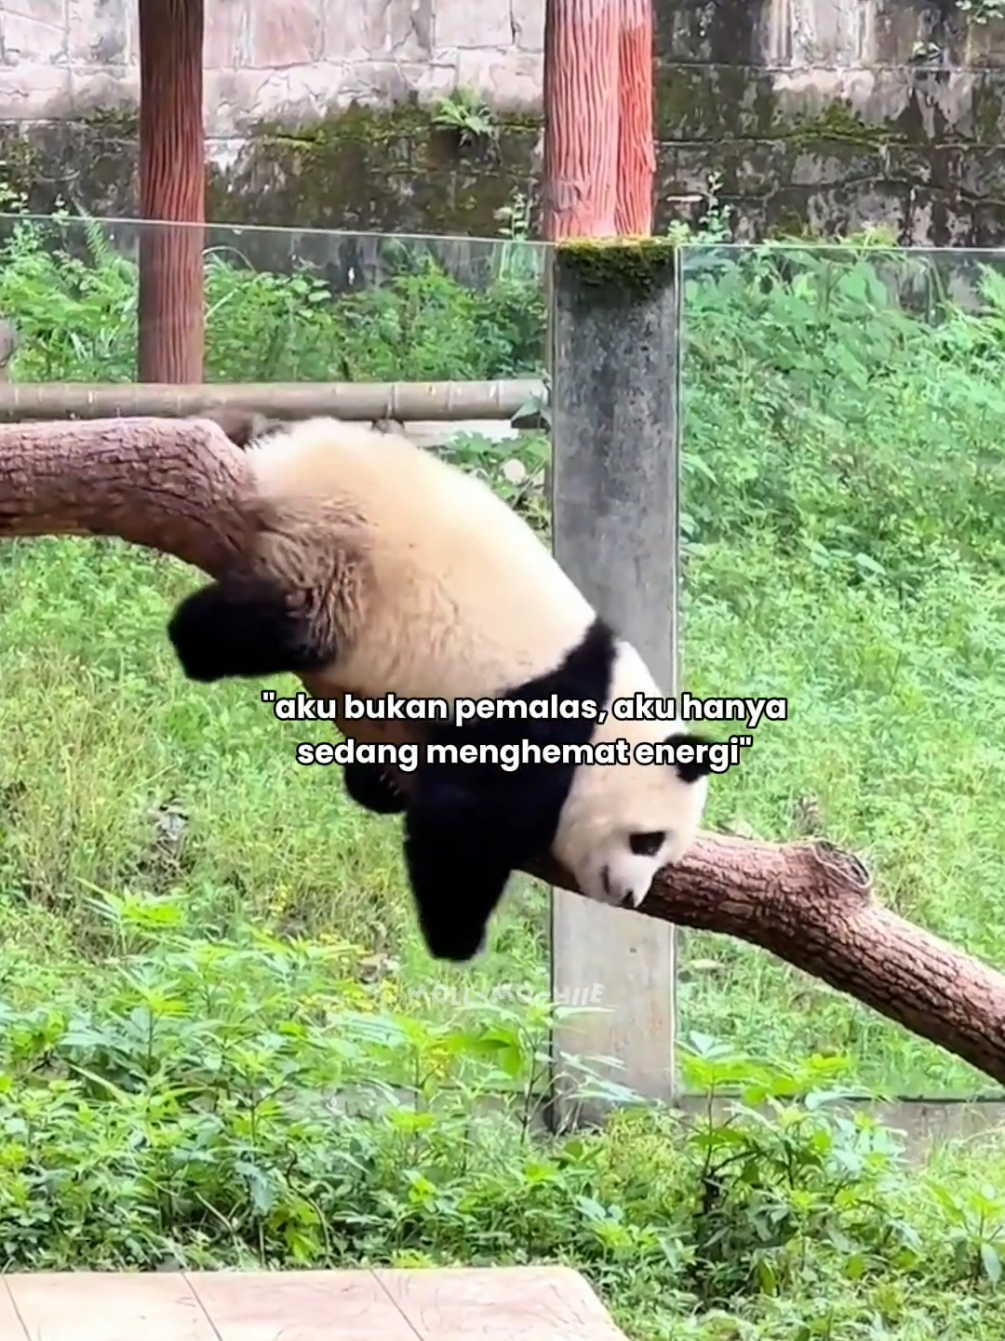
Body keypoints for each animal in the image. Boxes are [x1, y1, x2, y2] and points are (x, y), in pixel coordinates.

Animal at [167, 415, 715, 963]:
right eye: (647, 840)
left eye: (661, 854)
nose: (630, 895)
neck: (608, 714)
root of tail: (283, 460)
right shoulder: (535, 712)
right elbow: (464, 820)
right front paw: (458, 938)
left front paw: (377, 782)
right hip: (342, 560)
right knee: (275, 623)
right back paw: (193, 640)